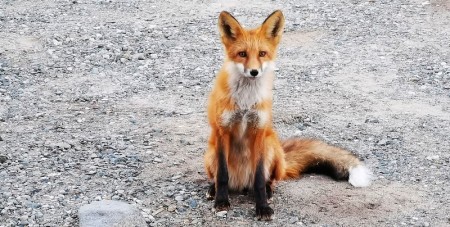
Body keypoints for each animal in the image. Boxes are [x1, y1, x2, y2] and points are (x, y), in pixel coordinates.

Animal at [204, 10, 372, 220]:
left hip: (271, 148)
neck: (245, 102)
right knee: (219, 177)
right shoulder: (222, 131)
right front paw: (221, 201)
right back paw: (213, 189)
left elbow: (259, 179)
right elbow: (222, 176)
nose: (254, 72)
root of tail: (241, 183)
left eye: (262, 53)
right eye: (242, 54)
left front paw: (263, 207)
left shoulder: (259, 131)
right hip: (210, 154)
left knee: (268, 180)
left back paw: (268, 191)